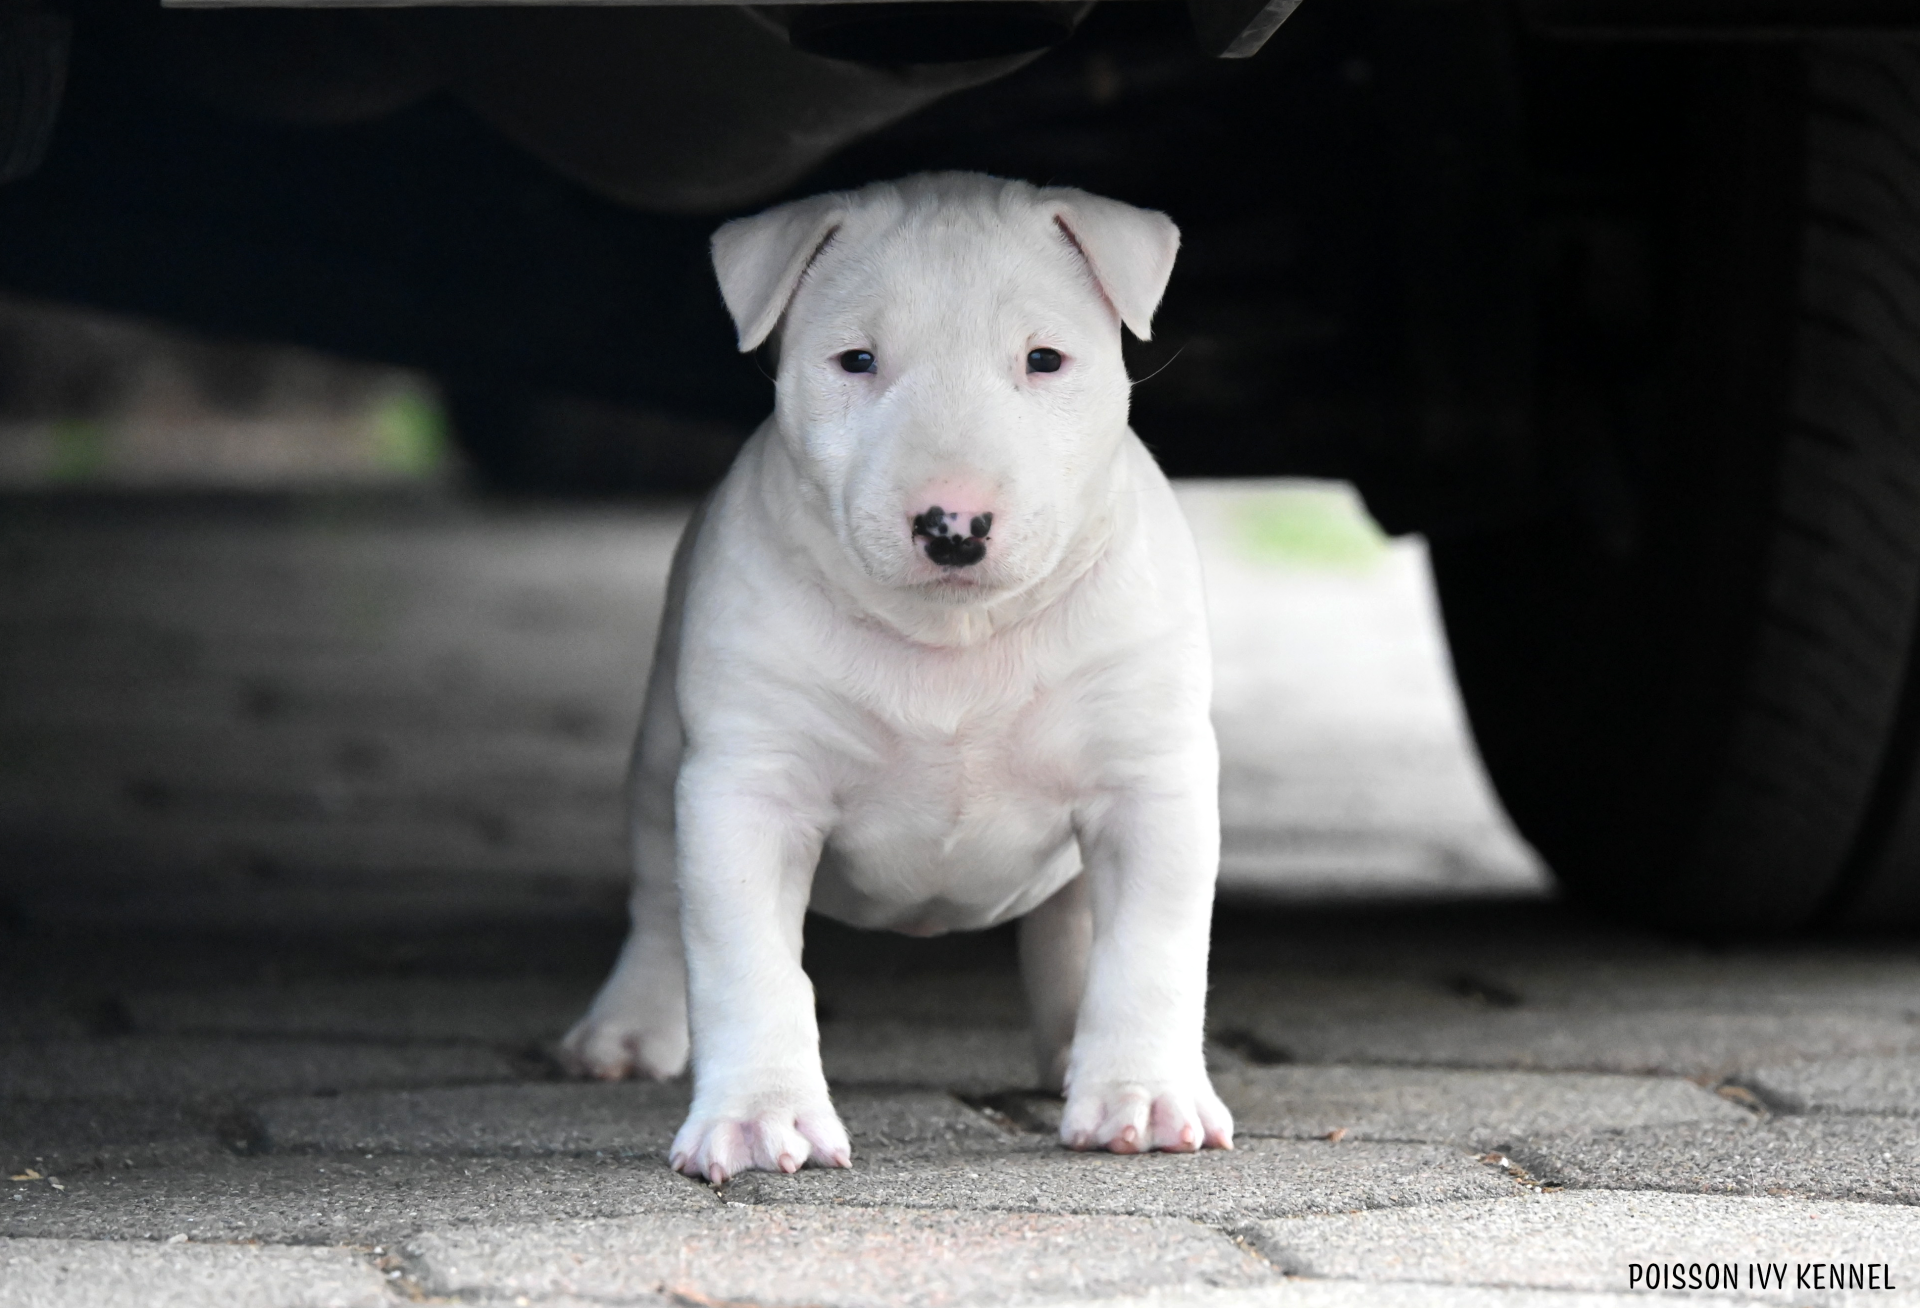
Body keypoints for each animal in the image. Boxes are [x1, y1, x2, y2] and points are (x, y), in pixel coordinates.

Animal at [560, 172, 1232, 1182]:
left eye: (1044, 359)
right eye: (857, 359)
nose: (953, 524)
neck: (954, 639)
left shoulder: (1151, 782)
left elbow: (1150, 951)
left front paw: (1144, 1096)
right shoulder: (746, 790)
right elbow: (744, 958)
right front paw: (761, 1117)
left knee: (1073, 925)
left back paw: (1075, 1056)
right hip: (658, 755)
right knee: (655, 902)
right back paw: (628, 1032)